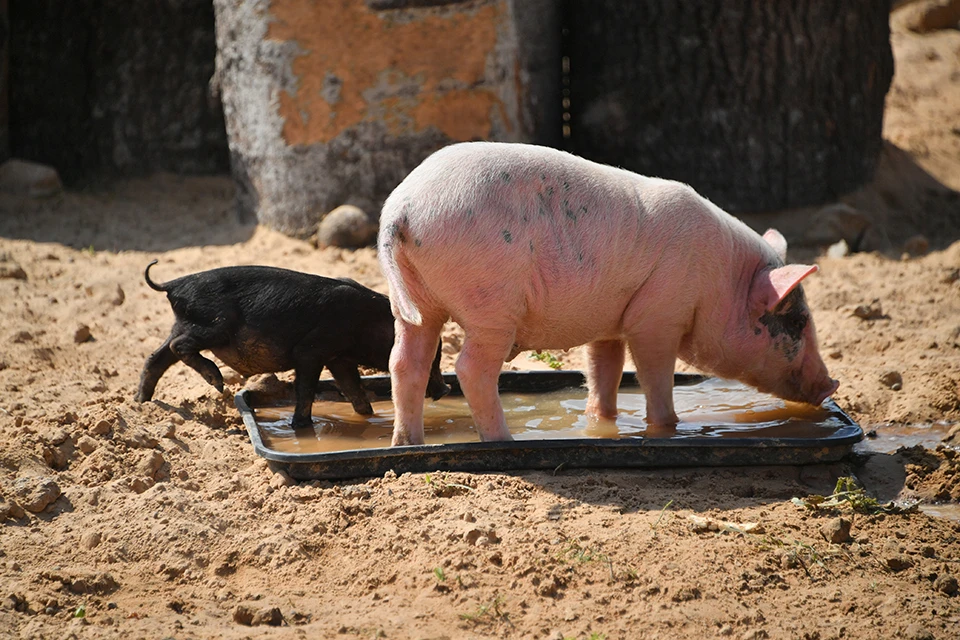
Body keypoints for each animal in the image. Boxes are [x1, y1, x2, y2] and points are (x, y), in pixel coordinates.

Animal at [378, 143, 836, 448]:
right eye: (797, 321)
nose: (831, 384)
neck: (721, 281)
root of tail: (401, 210)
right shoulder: (658, 316)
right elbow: (654, 375)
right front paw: (667, 429)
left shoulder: (611, 322)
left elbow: (605, 371)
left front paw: (602, 423)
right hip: (490, 302)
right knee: (471, 369)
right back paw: (504, 442)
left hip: (415, 304)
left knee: (405, 363)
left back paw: (407, 444)